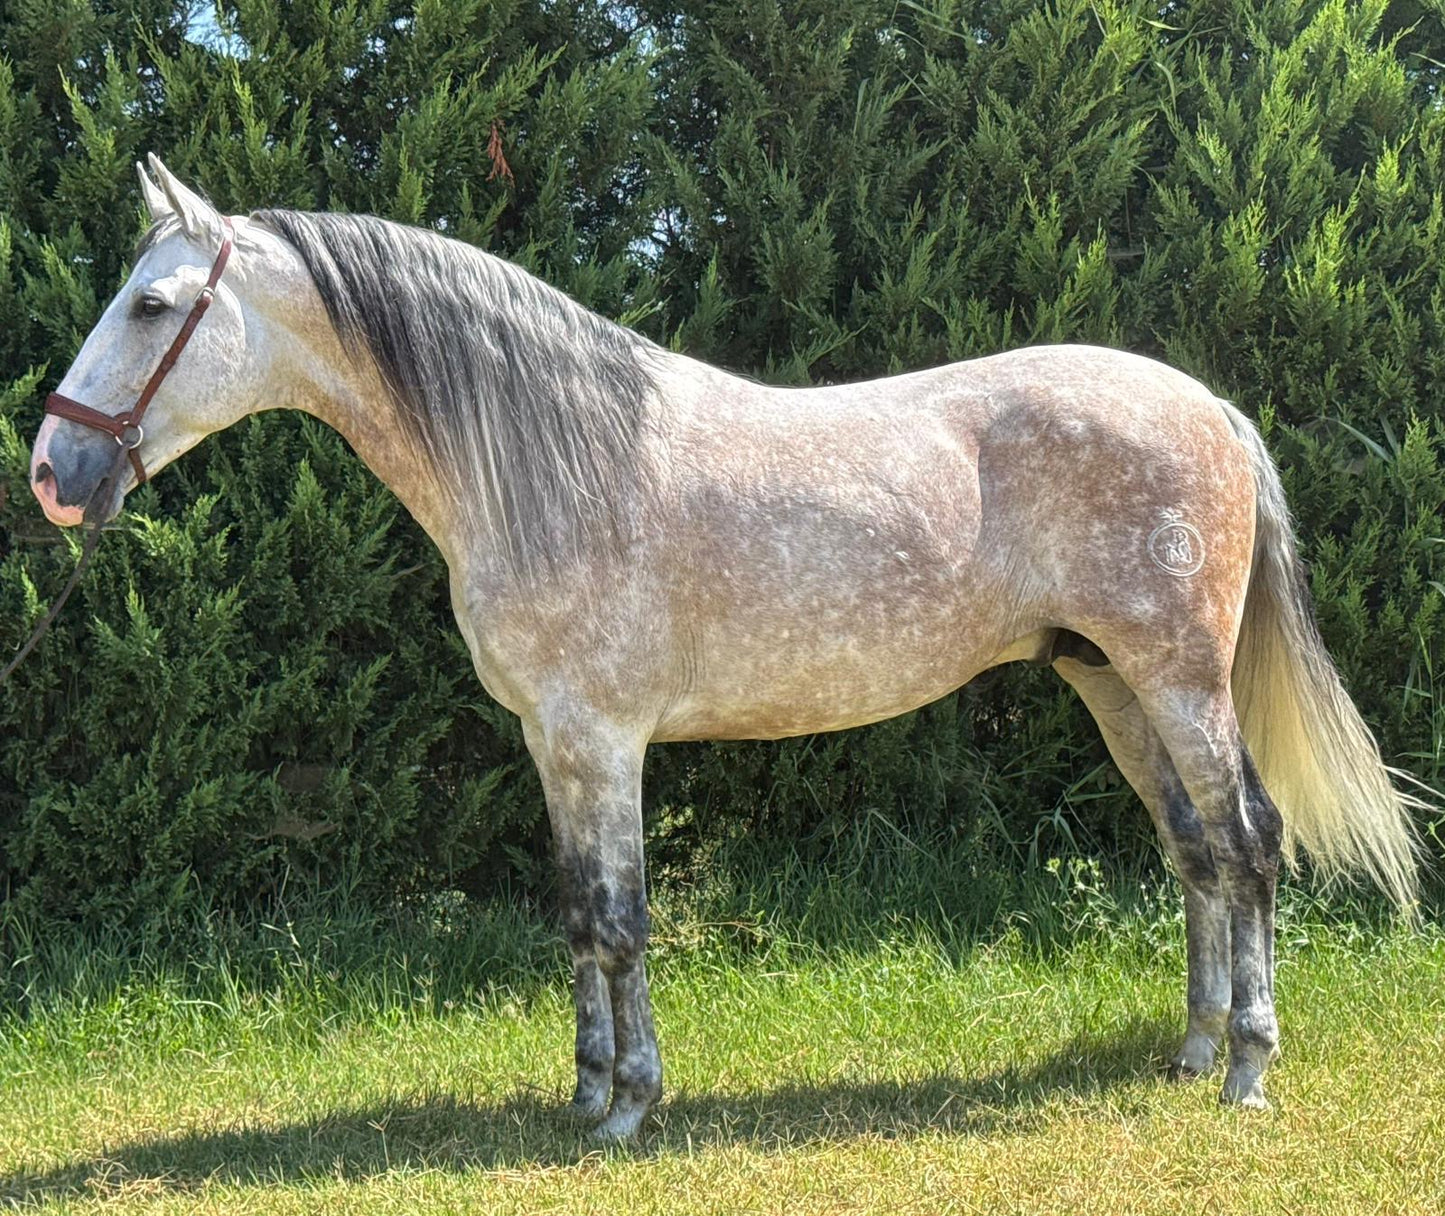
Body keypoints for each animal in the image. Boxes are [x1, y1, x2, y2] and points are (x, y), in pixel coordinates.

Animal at [25, 156, 1418, 1139]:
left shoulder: (602, 739)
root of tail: (1212, 409)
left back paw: (1244, 1070)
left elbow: (623, 919)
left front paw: (632, 1106)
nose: (51, 472)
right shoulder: (553, 744)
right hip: (1110, 684)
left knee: (1248, 842)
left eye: (152, 302)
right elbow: (576, 914)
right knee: (1193, 850)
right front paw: (587, 1093)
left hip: (1177, 680)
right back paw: (1188, 1051)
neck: (550, 465)